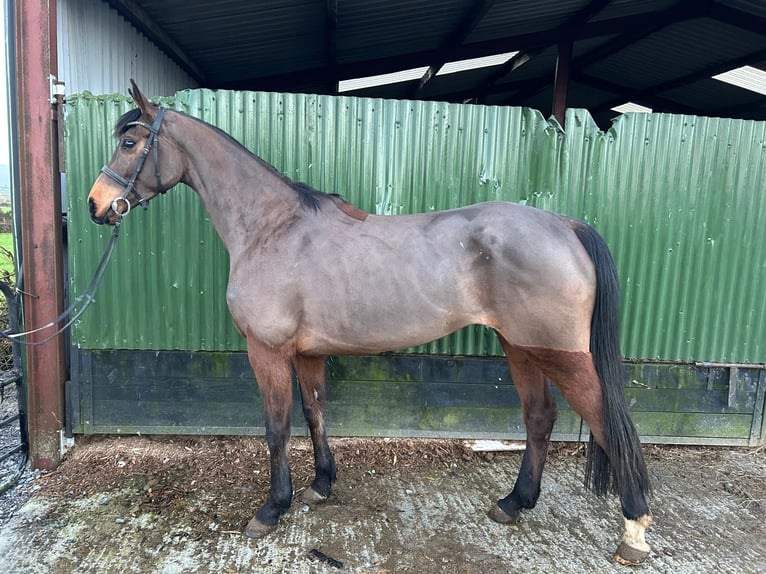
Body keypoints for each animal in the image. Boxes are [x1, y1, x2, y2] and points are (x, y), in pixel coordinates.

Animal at [87, 81, 652, 565]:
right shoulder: (308, 353)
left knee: (608, 422)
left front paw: (271, 509)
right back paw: (514, 503)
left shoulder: (267, 350)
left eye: (131, 142)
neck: (272, 227)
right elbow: (314, 413)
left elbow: (276, 426)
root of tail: (564, 224)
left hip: (559, 352)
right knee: (539, 417)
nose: (97, 205)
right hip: (520, 346)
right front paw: (321, 484)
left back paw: (634, 531)